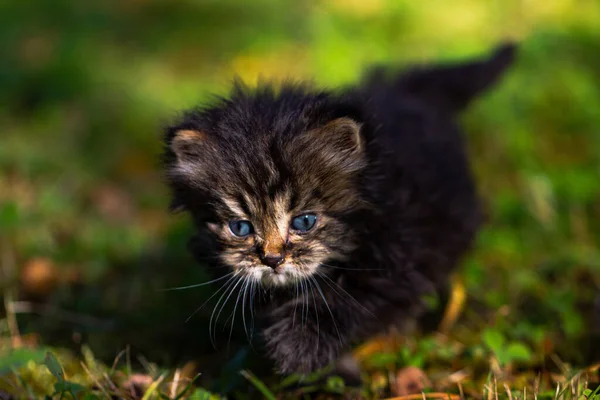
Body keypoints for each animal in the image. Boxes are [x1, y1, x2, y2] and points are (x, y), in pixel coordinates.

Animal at [163, 43, 516, 376]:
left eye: (305, 221)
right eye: (241, 228)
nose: (272, 260)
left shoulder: (401, 251)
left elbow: (352, 300)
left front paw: (299, 347)